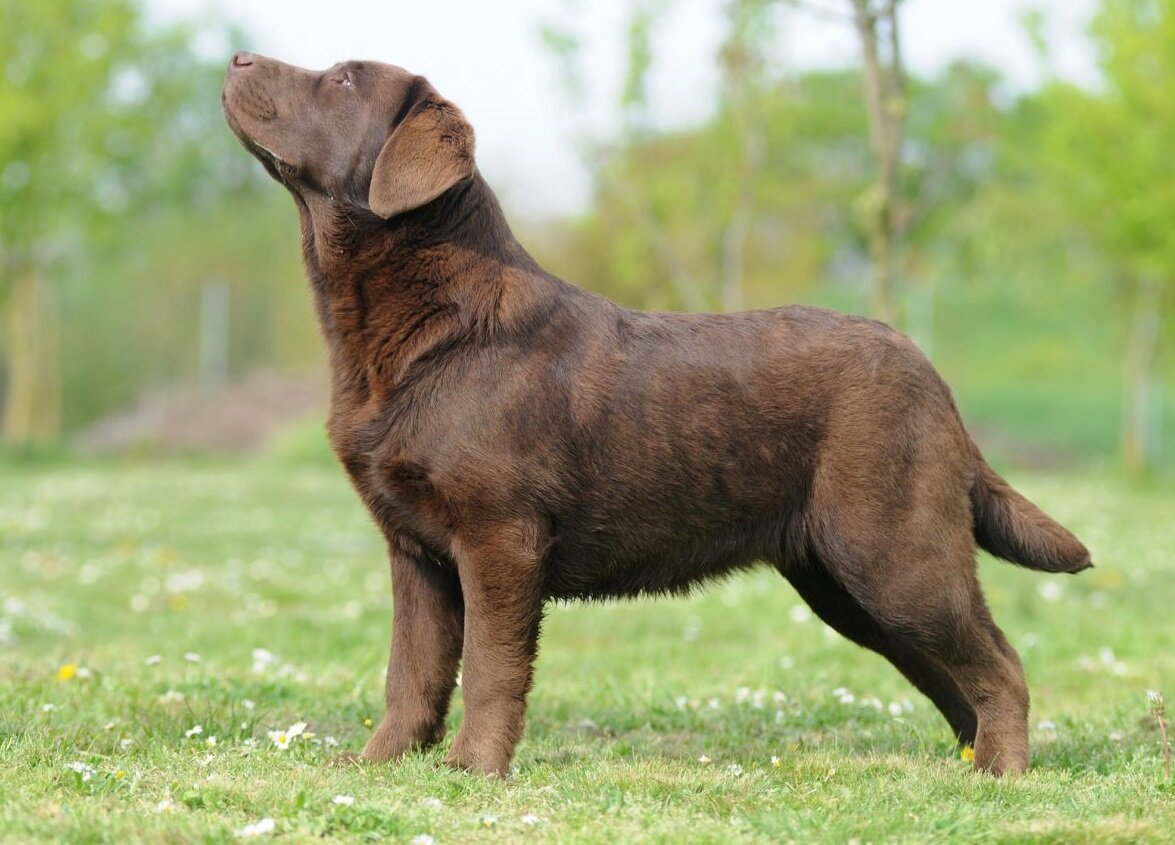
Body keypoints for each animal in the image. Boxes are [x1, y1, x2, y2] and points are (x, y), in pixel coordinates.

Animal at [222, 54, 1090, 780]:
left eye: (341, 81)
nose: (235, 57)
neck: (420, 327)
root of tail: (930, 373)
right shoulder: (416, 550)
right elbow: (412, 671)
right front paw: (381, 762)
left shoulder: (499, 535)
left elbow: (491, 667)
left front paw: (473, 769)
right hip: (847, 583)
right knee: (953, 677)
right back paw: (969, 765)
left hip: (894, 554)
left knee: (1001, 664)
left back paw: (1002, 773)